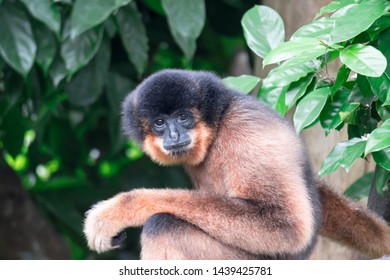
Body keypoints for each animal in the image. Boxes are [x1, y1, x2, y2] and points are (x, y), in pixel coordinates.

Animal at [83, 69, 390, 260]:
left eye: (183, 117)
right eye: (159, 122)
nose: (174, 135)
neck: (218, 125)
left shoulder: (246, 132)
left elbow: (285, 225)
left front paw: (117, 211)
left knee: (163, 226)